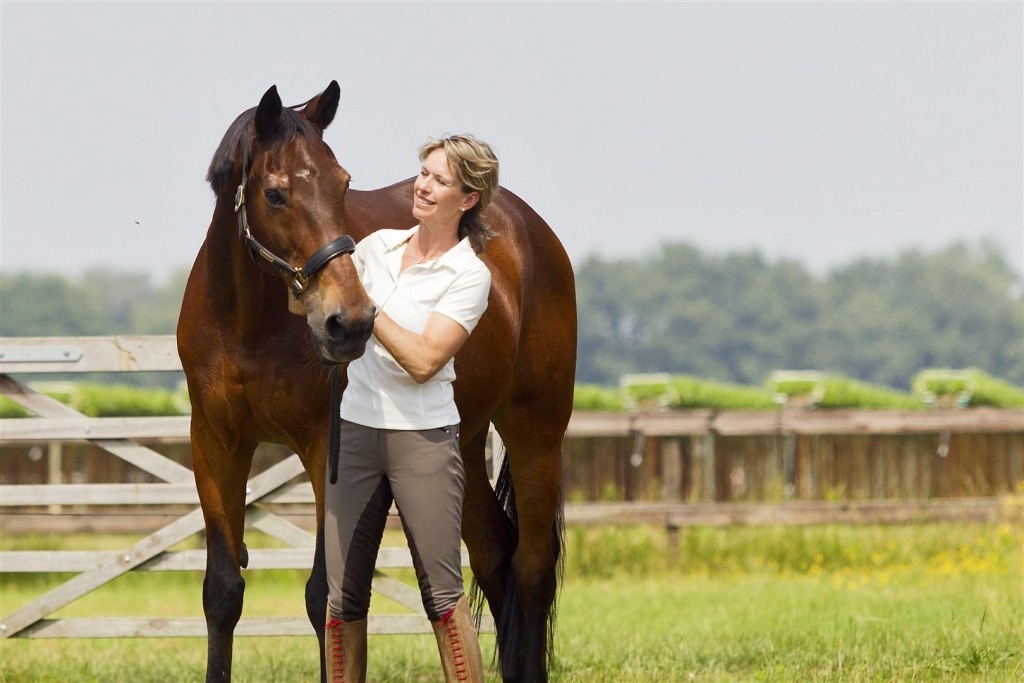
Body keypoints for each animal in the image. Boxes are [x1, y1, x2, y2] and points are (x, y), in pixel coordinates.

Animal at [176, 81, 577, 683]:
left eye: (343, 183)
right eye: (275, 194)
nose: (349, 322)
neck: (247, 323)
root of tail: (527, 228)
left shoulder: (326, 447)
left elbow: (325, 595)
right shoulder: (215, 443)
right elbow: (223, 591)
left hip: (536, 431)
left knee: (532, 568)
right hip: (464, 440)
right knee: (494, 559)